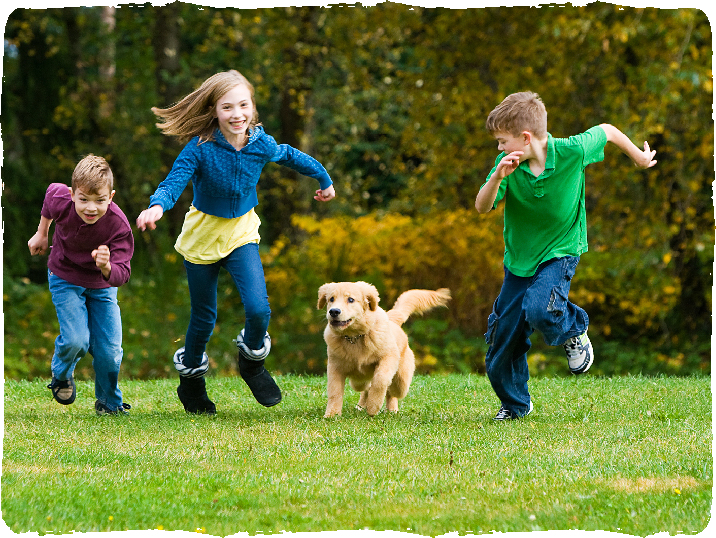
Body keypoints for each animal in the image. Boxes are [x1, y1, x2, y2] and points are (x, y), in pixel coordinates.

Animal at [318, 282, 450, 416]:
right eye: (331, 299)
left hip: (402, 381)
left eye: (350, 299)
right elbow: (335, 392)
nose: (334, 311)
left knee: (392, 391)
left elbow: (380, 379)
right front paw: (332, 414)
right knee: (364, 387)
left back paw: (391, 409)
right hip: (359, 381)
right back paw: (362, 405)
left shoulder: (389, 357)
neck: (354, 337)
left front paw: (373, 406)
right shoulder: (335, 366)